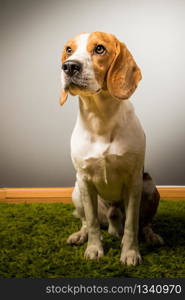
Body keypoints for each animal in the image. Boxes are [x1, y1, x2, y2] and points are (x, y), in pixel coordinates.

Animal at [60, 31, 163, 266]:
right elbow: (92, 223)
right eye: (69, 50)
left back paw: (151, 236)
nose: (69, 66)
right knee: (88, 221)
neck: (100, 118)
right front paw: (94, 249)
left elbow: (132, 225)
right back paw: (81, 235)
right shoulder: (85, 181)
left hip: (150, 187)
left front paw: (130, 253)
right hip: (77, 192)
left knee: (143, 223)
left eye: (99, 49)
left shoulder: (134, 182)